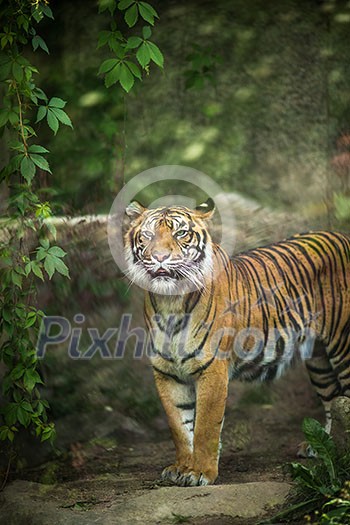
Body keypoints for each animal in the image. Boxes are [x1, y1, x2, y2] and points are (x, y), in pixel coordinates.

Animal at [123, 198, 350, 488]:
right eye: (148, 235)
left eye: (181, 233)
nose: (160, 257)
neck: (170, 302)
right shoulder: (166, 373)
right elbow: (179, 427)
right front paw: (182, 467)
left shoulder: (212, 369)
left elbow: (206, 426)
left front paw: (200, 472)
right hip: (319, 359)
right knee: (333, 400)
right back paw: (323, 448)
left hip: (343, 346)